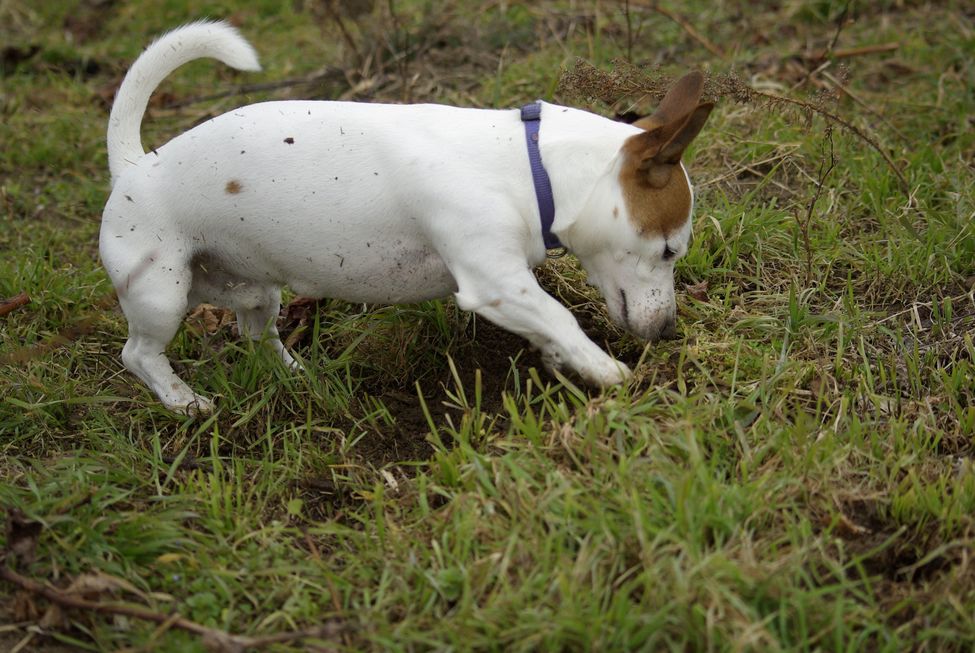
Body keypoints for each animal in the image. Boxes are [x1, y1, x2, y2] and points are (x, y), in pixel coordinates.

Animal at [101, 24, 708, 418]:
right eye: (669, 250)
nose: (669, 332)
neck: (531, 164)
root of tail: (135, 165)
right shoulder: (495, 283)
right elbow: (559, 317)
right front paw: (613, 374)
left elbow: (550, 325)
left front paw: (570, 362)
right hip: (161, 293)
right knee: (138, 354)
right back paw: (184, 401)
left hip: (254, 290)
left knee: (256, 335)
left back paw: (295, 374)